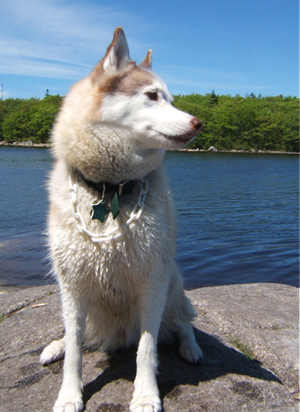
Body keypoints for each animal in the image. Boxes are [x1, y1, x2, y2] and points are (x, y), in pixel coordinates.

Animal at [39, 27, 203, 410]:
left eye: (171, 99)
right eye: (153, 96)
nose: (198, 123)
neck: (110, 189)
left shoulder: (153, 281)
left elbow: (147, 348)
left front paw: (145, 394)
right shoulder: (72, 284)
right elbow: (74, 349)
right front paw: (69, 394)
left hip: (173, 284)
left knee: (182, 322)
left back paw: (191, 347)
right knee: (76, 336)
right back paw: (55, 345)